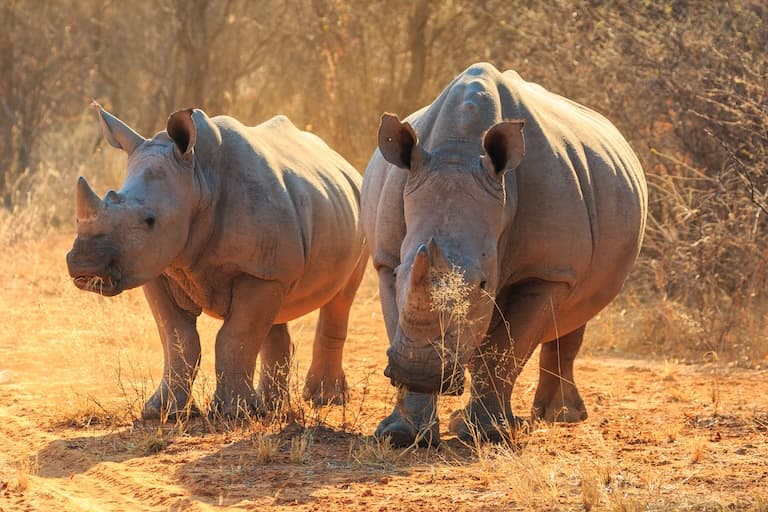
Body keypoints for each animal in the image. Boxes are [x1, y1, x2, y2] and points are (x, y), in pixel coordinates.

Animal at [67, 104, 368, 419]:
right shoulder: (157, 269)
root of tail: (342, 161)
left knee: (340, 299)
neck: (199, 178)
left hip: (358, 208)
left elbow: (234, 336)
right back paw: (272, 407)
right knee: (277, 310)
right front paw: (162, 411)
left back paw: (324, 399)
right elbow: (178, 339)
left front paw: (234, 413)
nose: (85, 265)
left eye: (150, 220)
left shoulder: (256, 271)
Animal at [361, 63, 647, 446]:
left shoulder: (547, 271)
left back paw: (558, 417)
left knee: (575, 311)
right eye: (400, 274)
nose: (417, 373)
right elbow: (400, 323)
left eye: (484, 284)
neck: (459, 151)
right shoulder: (387, 260)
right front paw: (402, 435)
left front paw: (488, 435)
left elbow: (507, 350)